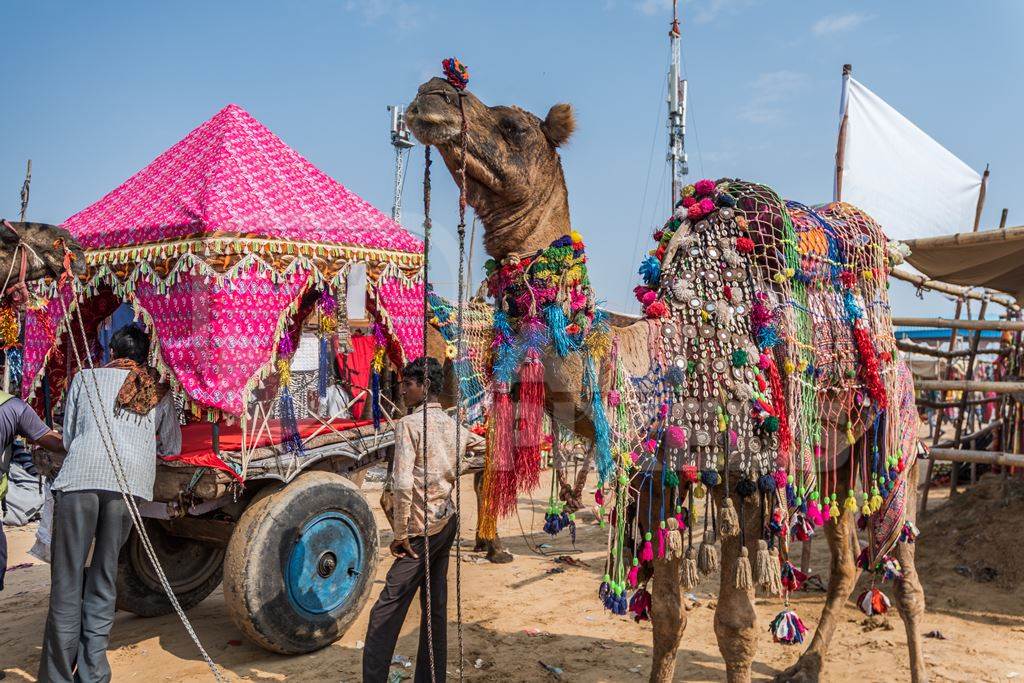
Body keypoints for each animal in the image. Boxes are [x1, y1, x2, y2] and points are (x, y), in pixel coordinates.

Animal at [405, 70, 929, 683]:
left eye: (512, 124)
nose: (434, 93)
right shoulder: (660, 477)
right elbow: (668, 615)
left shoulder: (740, 476)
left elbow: (735, 627)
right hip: (833, 459)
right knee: (846, 564)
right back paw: (807, 664)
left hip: (896, 441)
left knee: (904, 573)